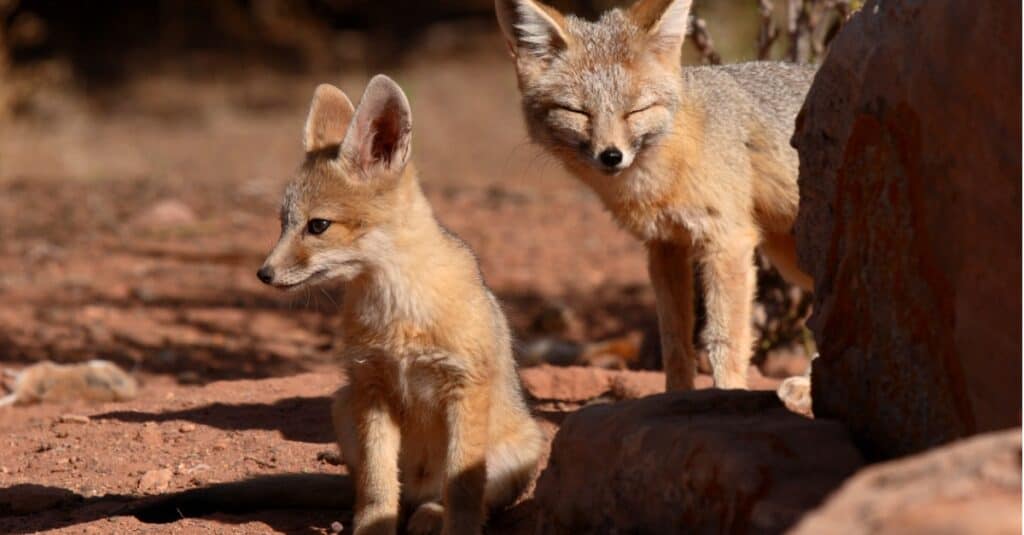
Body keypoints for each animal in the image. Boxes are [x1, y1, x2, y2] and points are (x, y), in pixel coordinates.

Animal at [495, 0, 815, 389]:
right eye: (577, 111)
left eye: (636, 110)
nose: (611, 156)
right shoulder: (665, 245)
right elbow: (675, 343)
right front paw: (677, 396)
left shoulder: (728, 242)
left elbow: (724, 341)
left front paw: (729, 393)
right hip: (790, 256)